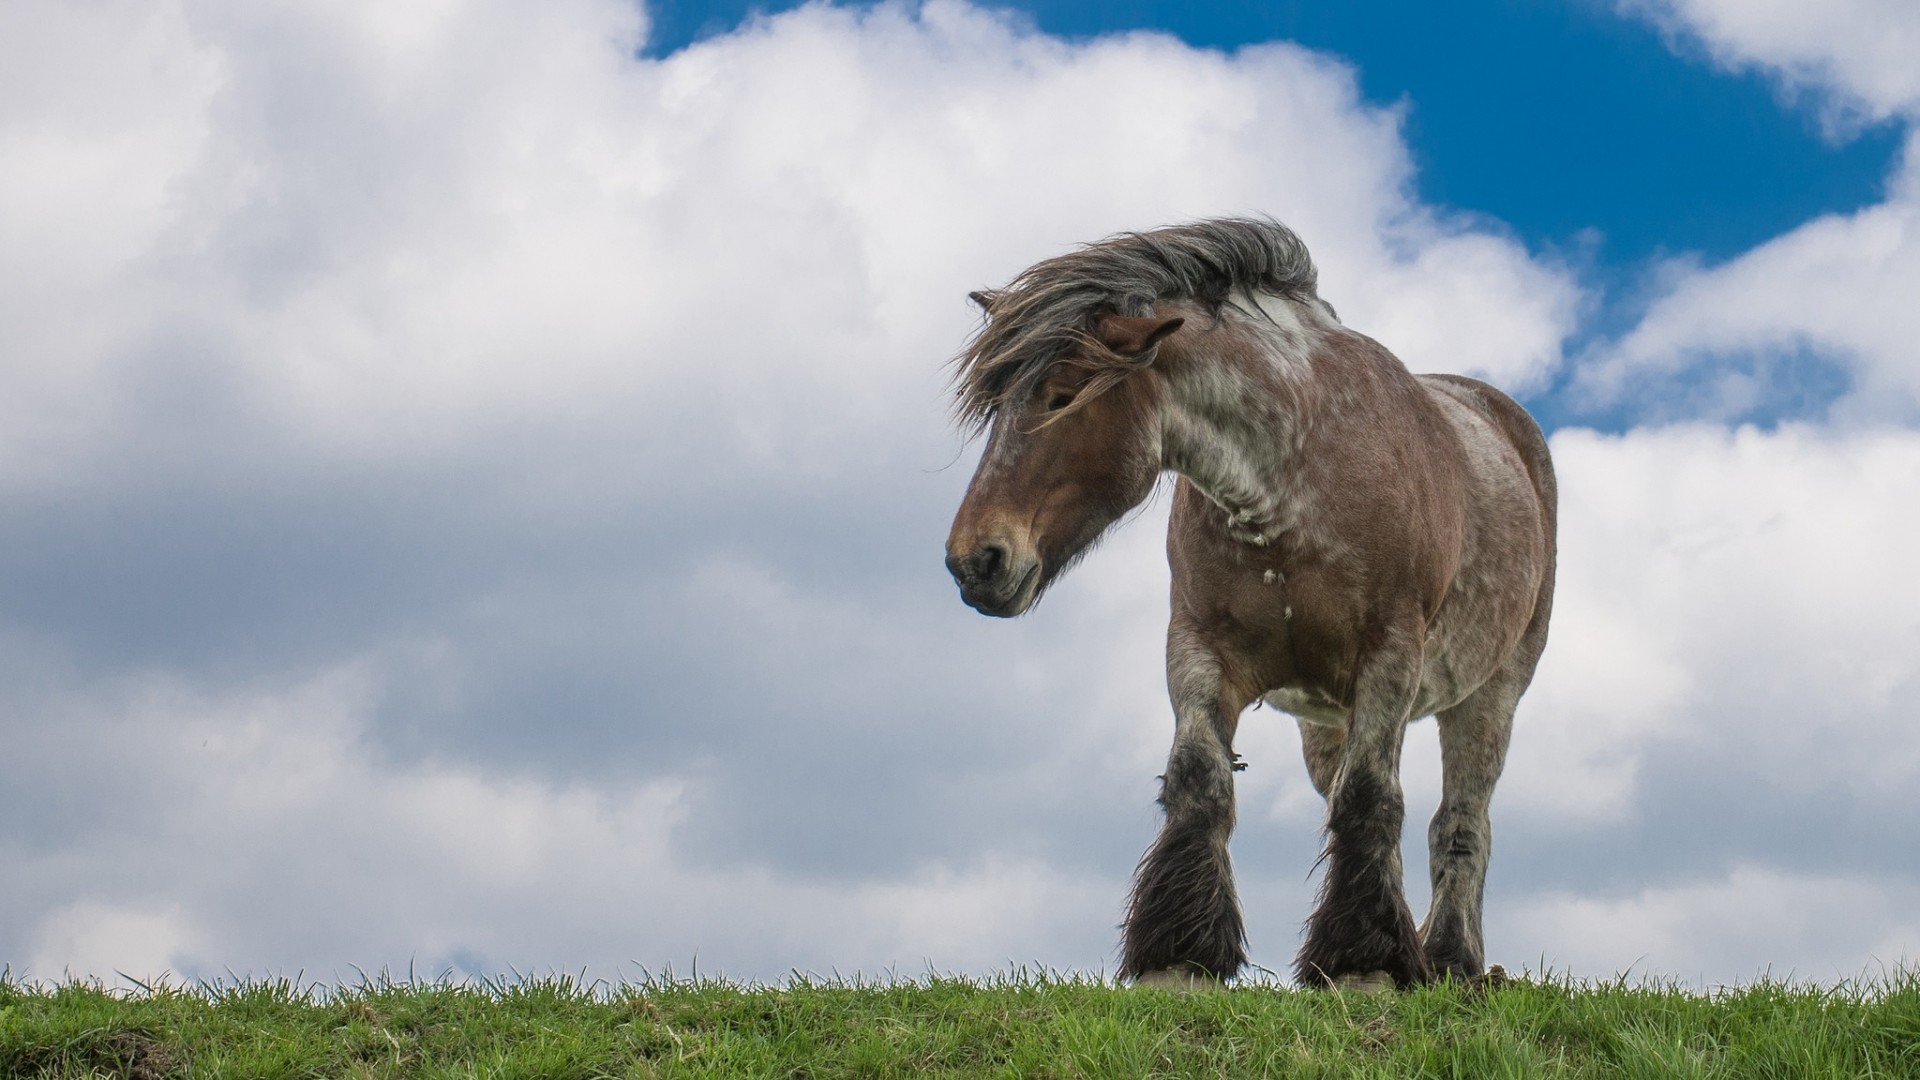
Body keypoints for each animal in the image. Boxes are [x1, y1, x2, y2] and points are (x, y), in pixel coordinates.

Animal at [942, 218, 1555, 989]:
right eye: (997, 408)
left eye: (1061, 395)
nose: (974, 560)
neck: (1293, 478)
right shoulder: (1198, 649)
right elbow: (1202, 780)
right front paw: (1180, 952)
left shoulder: (1391, 656)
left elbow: (1372, 797)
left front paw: (1366, 961)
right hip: (1327, 718)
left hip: (1490, 694)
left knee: (1461, 821)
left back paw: (1450, 959)